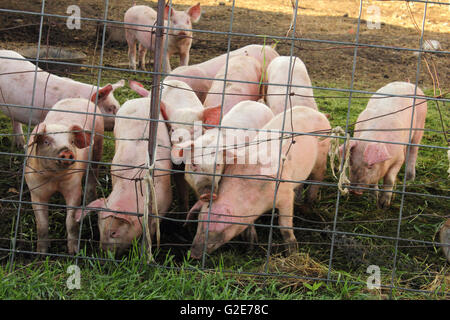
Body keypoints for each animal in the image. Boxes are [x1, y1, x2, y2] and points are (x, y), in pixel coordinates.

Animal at [25, 96, 104, 254]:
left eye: (72, 141)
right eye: (46, 141)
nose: (66, 150)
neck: (54, 178)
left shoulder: (73, 187)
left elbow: (71, 221)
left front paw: (73, 252)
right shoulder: (35, 191)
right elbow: (41, 223)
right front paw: (41, 253)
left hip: (98, 144)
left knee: (93, 175)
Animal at [190, 106, 330, 258]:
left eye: (217, 229)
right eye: (199, 222)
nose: (192, 254)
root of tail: (318, 113)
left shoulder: (285, 194)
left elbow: (284, 225)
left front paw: (291, 253)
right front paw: (251, 246)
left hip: (322, 154)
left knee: (317, 178)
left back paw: (307, 207)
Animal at [340, 81, 428, 209]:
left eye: (370, 166)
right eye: (350, 162)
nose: (353, 190)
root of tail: (407, 83)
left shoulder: (398, 159)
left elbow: (389, 179)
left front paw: (384, 205)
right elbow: (374, 182)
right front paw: (373, 199)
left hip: (420, 126)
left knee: (413, 150)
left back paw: (409, 179)